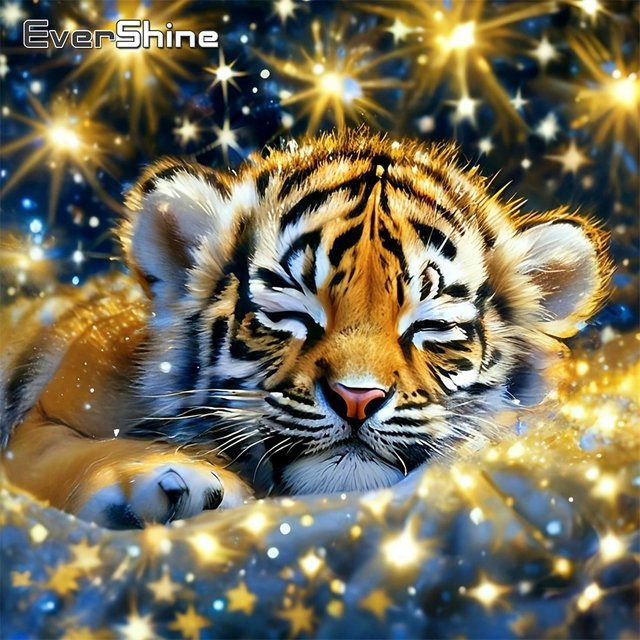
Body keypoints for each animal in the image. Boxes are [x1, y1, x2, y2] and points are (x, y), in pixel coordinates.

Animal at [1, 131, 611, 529]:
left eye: (429, 326)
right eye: (292, 314)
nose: (357, 398)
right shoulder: (45, 416)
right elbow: (86, 452)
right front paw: (174, 479)